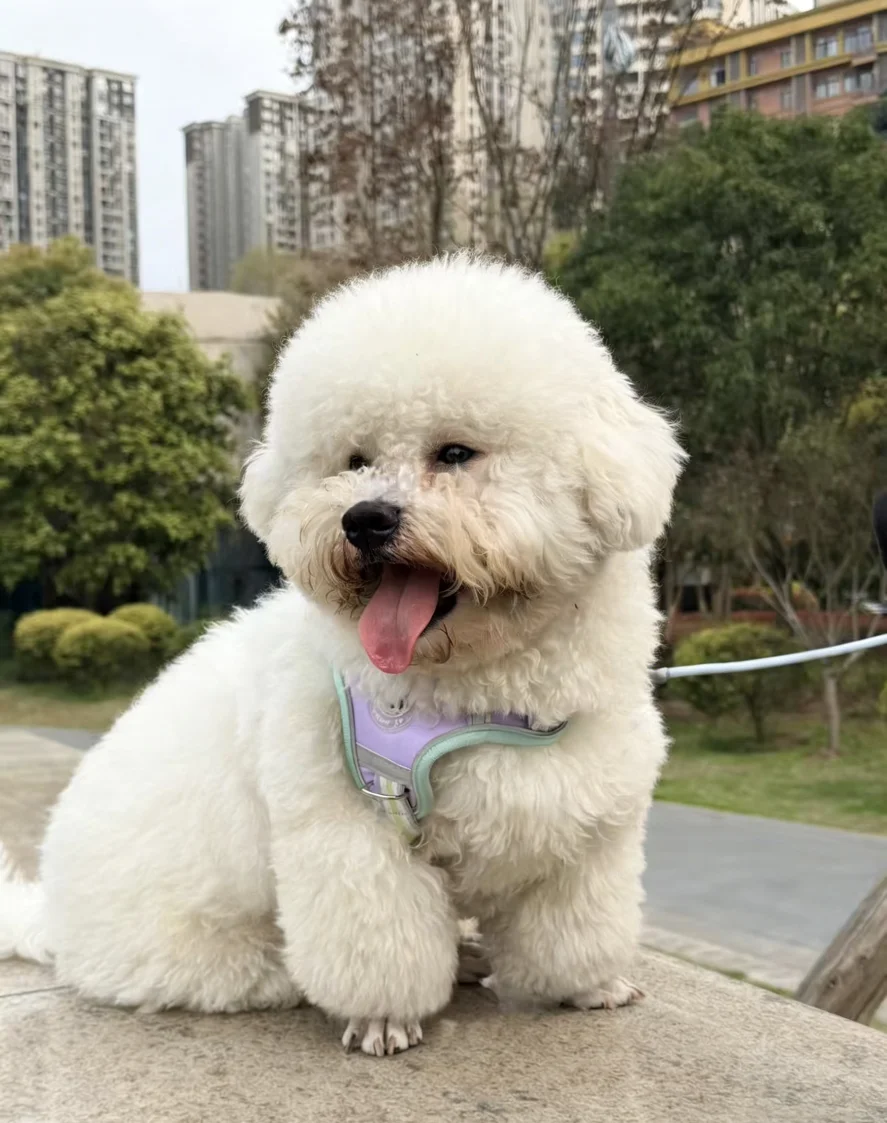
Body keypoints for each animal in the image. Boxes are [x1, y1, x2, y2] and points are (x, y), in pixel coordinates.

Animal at [0, 256, 684, 1056]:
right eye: (353, 461)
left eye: (455, 453)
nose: (364, 518)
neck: (476, 687)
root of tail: (50, 918)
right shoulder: (351, 826)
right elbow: (378, 937)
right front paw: (385, 1015)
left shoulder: (586, 819)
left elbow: (577, 924)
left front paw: (586, 985)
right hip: (188, 945)